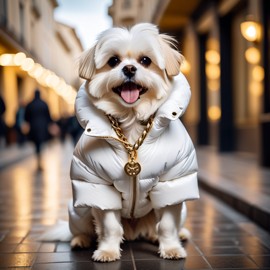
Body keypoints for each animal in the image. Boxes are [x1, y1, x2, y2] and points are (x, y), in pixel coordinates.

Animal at [42, 22, 199, 262]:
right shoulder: (99, 187)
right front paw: (107, 251)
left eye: (145, 60)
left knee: (160, 226)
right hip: (79, 209)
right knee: (80, 228)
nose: (130, 69)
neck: (132, 126)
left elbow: (167, 225)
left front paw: (171, 248)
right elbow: (110, 227)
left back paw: (168, 235)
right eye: (114, 61)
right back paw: (81, 240)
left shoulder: (172, 183)